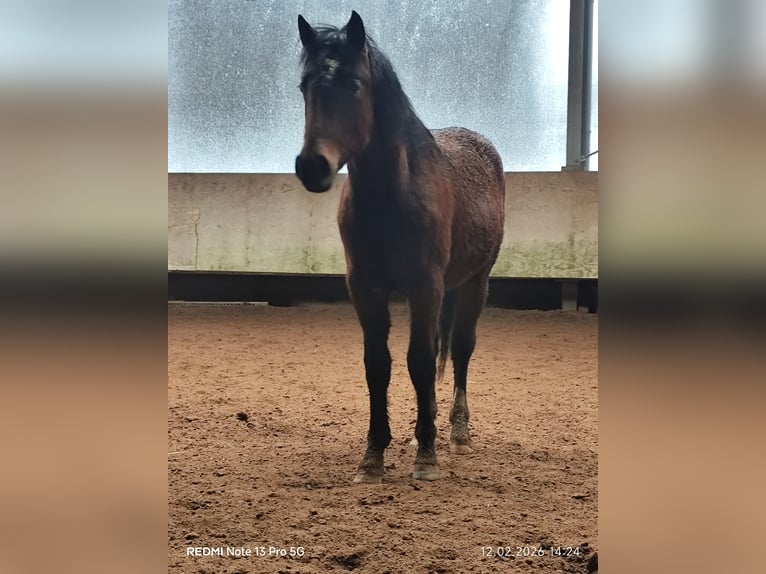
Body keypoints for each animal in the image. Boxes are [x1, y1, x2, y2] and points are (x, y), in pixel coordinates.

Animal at [295, 11, 505, 483]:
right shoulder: (365, 288)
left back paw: (457, 433)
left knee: (461, 350)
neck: (390, 197)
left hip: (475, 283)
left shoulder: (425, 286)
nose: (312, 166)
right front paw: (373, 455)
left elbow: (421, 361)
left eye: (354, 84)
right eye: (303, 86)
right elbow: (379, 365)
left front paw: (426, 456)